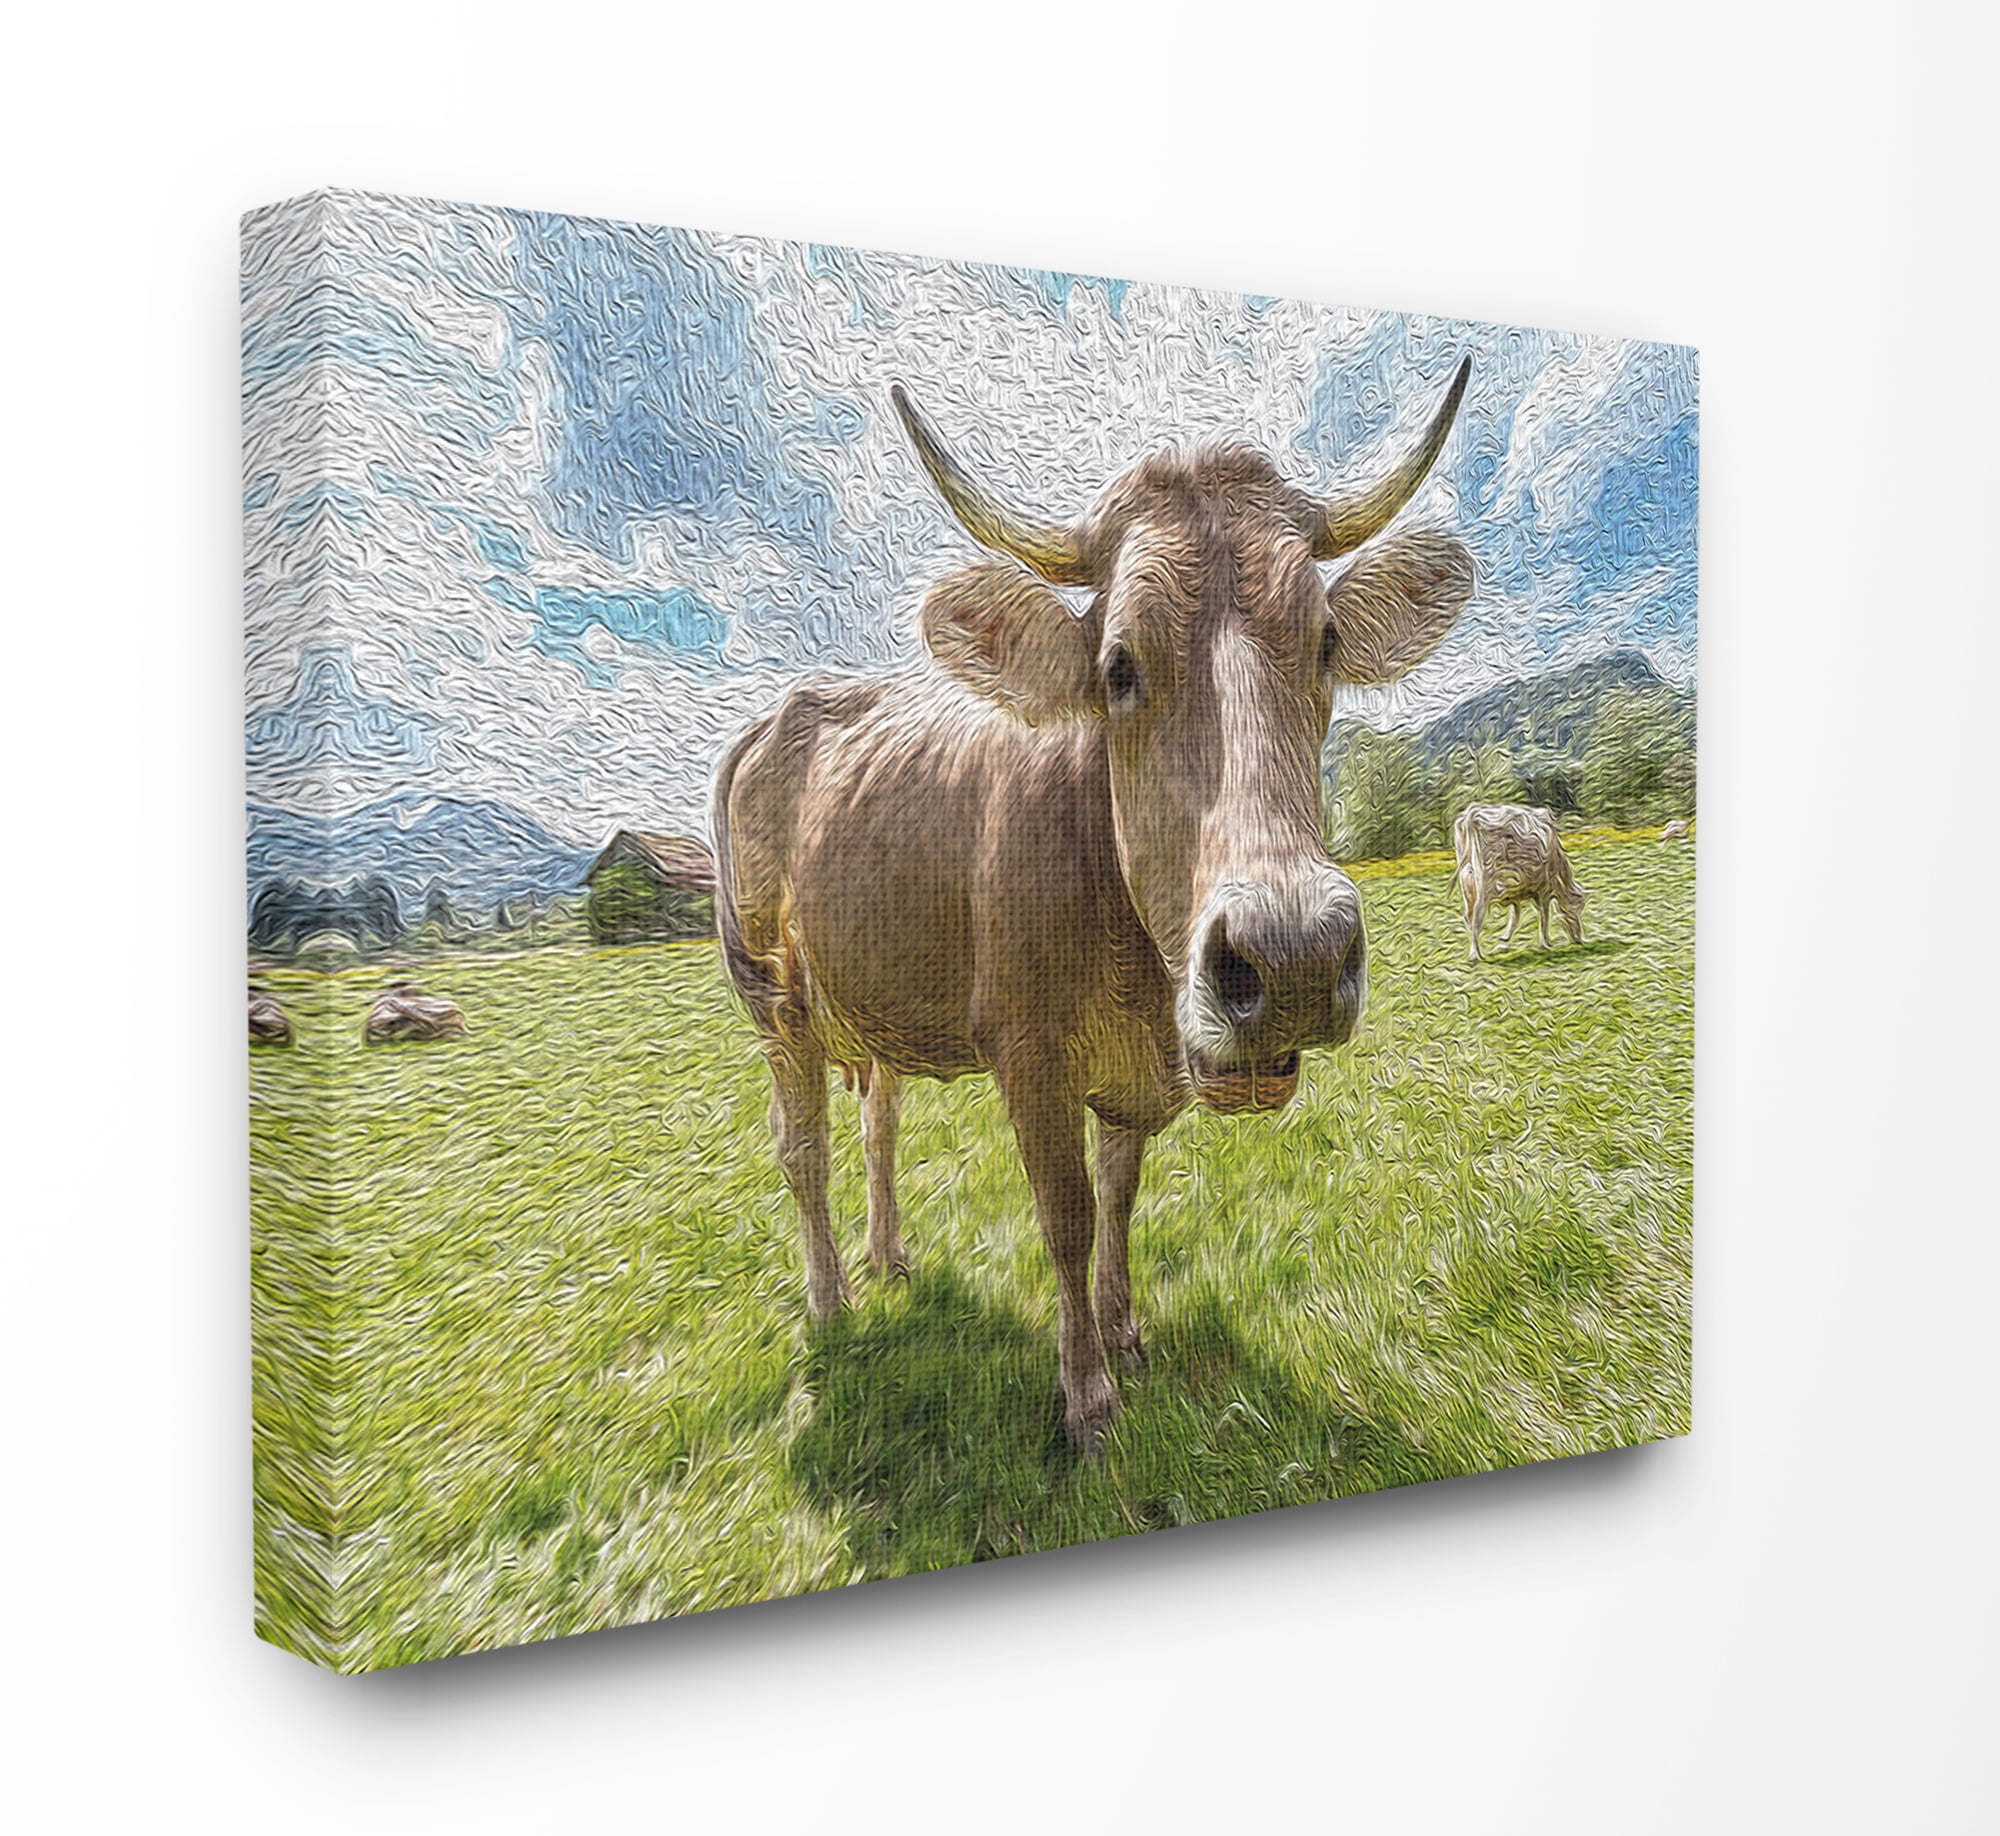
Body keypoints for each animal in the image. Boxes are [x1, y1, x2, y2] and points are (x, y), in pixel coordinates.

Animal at [714, 364, 1476, 1452]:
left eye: (1326, 644)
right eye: (1117, 666)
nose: (1291, 958)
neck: (1131, 970)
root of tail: (783, 710)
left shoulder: (1138, 1069)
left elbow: (1119, 1196)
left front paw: (1123, 1331)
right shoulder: (1024, 1050)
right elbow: (1067, 1213)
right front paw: (1085, 1394)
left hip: (867, 992)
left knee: (878, 1126)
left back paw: (888, 1255)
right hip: (774, 1002)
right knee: (802, 1148)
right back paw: (828, 1301)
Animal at [1453, 804, 1587, 962]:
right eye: (1578, 909)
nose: (1579, 939)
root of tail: (1473, 814)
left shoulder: (1516, 893)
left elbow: (1515, 917)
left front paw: (1503, 941)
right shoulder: (1544, 890)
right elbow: (1544, 917)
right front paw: (1545, 944)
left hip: (1467, 886)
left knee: (1468, 917)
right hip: (1483, 887)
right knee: (1476, 918)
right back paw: (1475, 956)